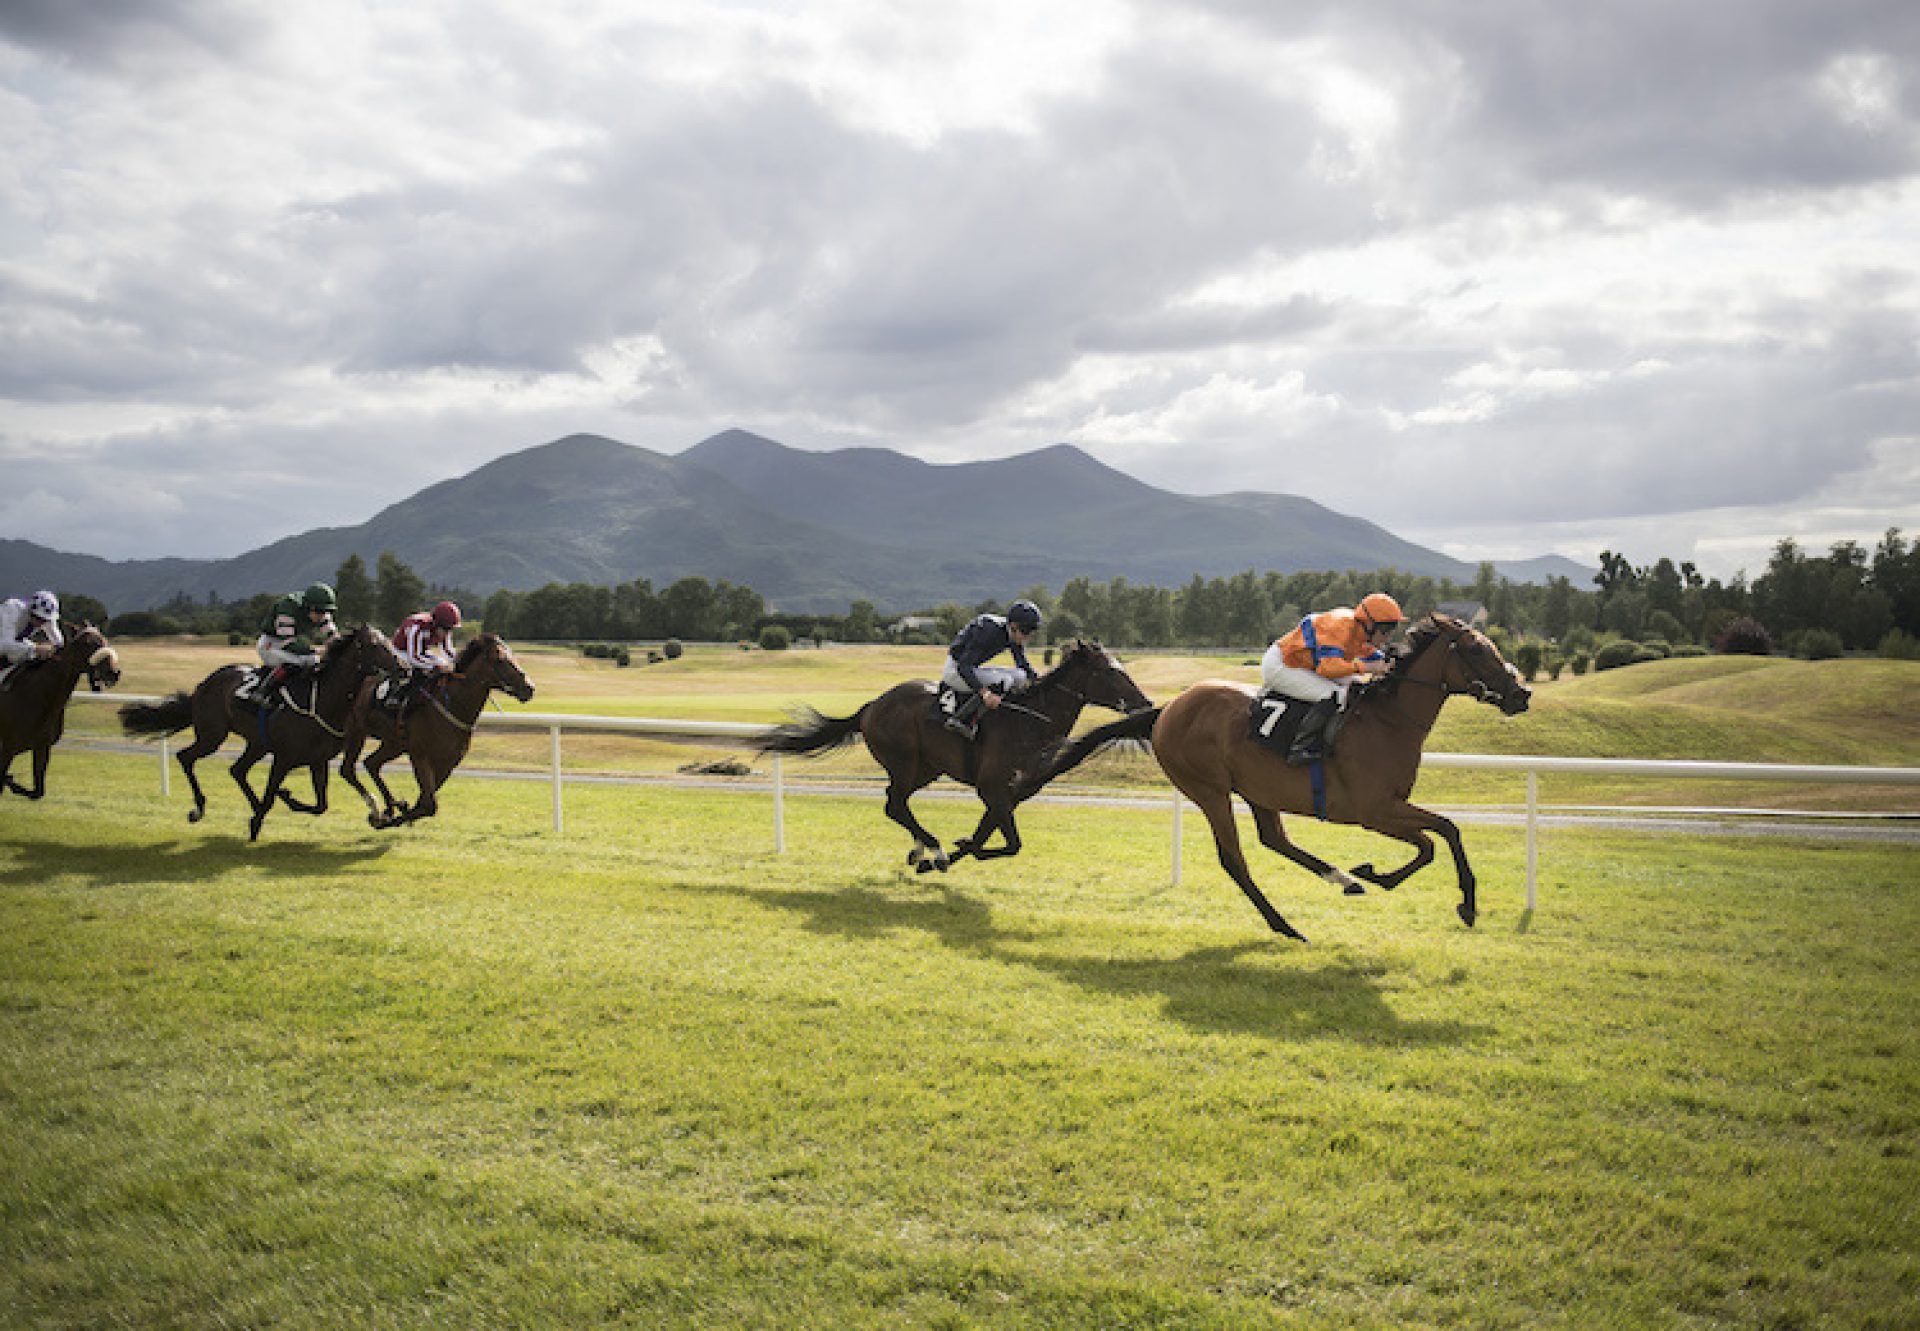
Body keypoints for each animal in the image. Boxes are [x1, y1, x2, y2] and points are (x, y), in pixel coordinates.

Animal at [0, 622, 122, 798]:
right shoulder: (7, 748)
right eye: (87, 643)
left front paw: (13, 783)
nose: (113, 673)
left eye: (104, 639)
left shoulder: (41, 747)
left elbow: (37, 792)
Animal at [119, 626, 405, 841]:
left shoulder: (317, 760)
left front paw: (284, 799)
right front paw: (260, 819)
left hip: (256, 743)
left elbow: (320, 805)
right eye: (374, 645)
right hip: (212, 736)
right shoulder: (283, 758)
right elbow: (272, 794)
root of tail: (203, 685)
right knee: (186, 757)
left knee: (237, 770)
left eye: (387, 642)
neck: (321, 700)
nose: (402, 666)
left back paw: (249, 806)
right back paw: (198, 808)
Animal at [337, 629, 533, 825]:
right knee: (348, 770)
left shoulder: (448, 762)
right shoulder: (420, 755)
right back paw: (378, 810)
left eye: (512, 655)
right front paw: (391, 816)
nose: (529, 688)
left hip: (394, 743)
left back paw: (389, 806)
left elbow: (424, 803)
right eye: (500, 660)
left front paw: (398, 811)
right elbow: (429, 805)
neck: (453, 704)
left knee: (371, 763)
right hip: (357, 733)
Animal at [752, 637, 1144, 868]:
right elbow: (1011, 843)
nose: (1145, 702)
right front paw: (953, 851)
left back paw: (921, 851)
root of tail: (871, 706)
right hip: (904, 762)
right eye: (1111, 672)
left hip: (925, 768)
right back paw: (933, 848)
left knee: (896, 803)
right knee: (896, 804)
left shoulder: (1011, 792)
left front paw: (962, 847)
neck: (1029, 722)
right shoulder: (992, 788)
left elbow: (992, 835)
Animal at [1013, 618, 1536, 941]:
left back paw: (1342, 880)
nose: (1522, 694)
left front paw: (1379, 876)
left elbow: (1439, 836)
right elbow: (1440, 835)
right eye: (1477, 650)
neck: (1387, 722)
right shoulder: (1373, 811)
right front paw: (1453, 899)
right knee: (1236, 859)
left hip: (1256, 789)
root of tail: (1168, 709)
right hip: (1209, 790)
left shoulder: (1386, 809)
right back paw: (1286, 924)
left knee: (1274, 839)